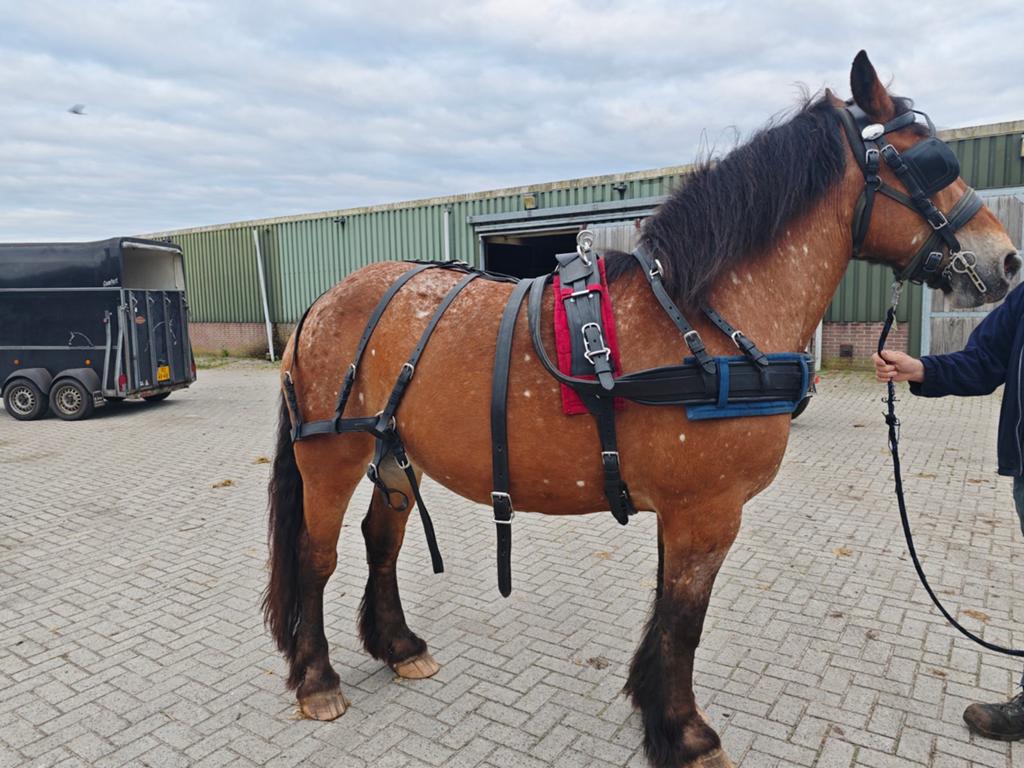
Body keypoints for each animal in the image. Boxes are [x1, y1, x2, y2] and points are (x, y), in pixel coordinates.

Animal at [262, 51, 1020, 768]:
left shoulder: (683, 511)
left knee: (380, 540)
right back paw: (317, 679)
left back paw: (397, 645)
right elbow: (685, 623)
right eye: (927, 160)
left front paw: (652, 709)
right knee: (316, 554)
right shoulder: (707, 511)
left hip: (394, 450)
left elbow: (665, 613)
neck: (702, 321)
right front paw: (686, 735)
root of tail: (324, 301)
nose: (1007, 260)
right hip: (330, 454)